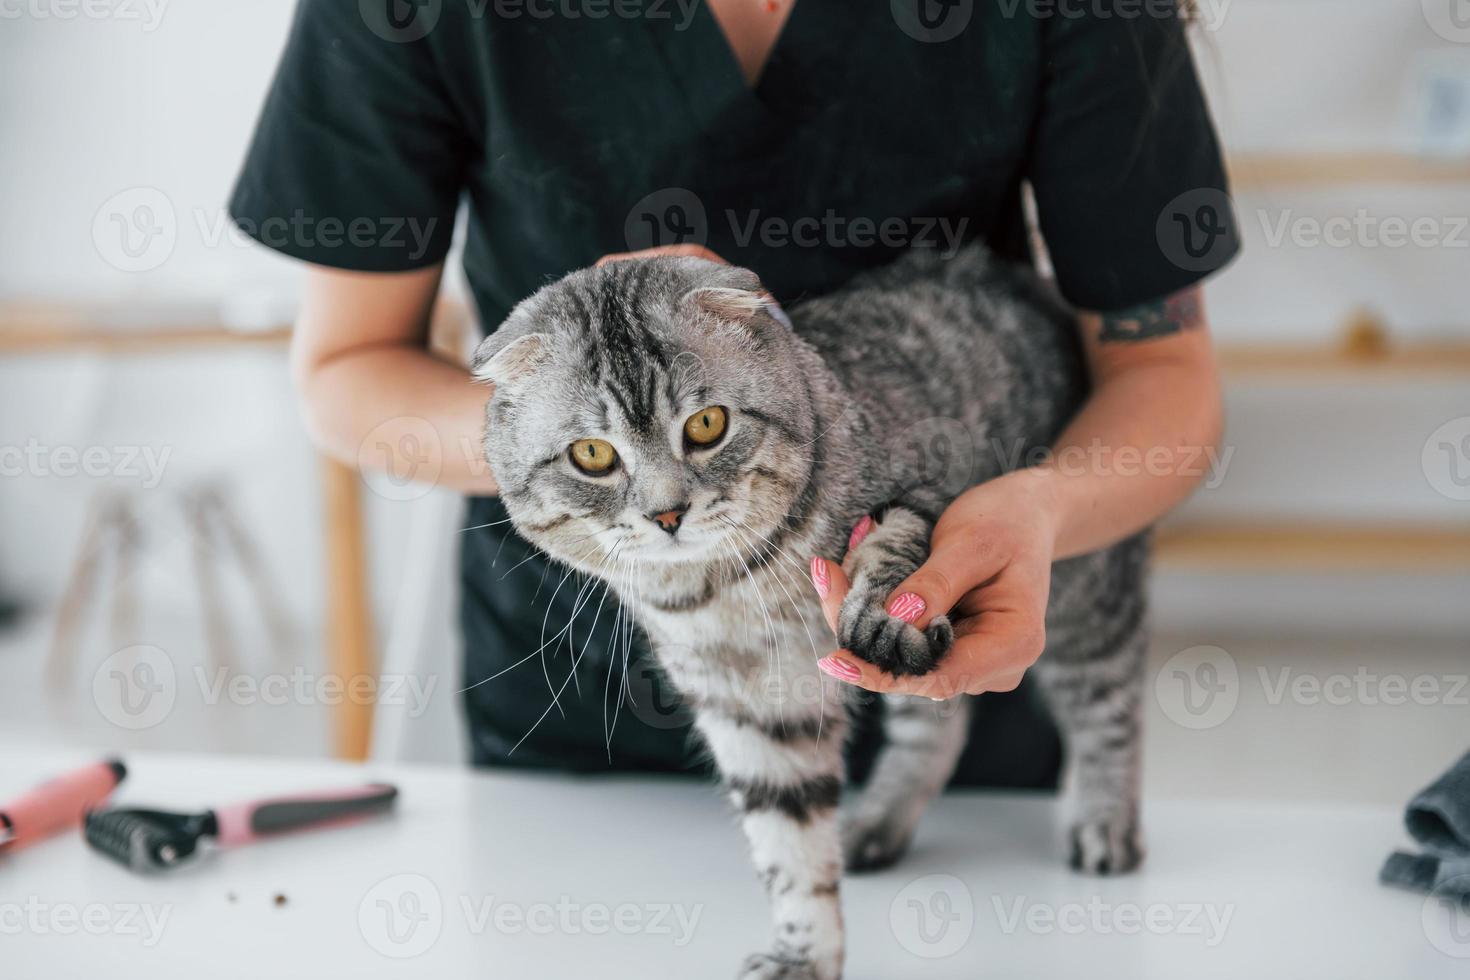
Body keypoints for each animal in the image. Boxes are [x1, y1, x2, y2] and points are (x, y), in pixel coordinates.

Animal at [470, 239, 1146, 980]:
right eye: (592, 455)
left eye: (706, 425)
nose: (668, 513)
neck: (725, 589)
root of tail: (1013, 273)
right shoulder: (755, 709)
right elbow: (790, 845)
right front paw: (804, 953)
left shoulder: (927, 491)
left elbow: (895, 540)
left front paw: (889, 610)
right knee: (937, 726)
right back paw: (878, 821)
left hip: (1088, 595)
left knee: (1108, 706)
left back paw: (1105, 825)